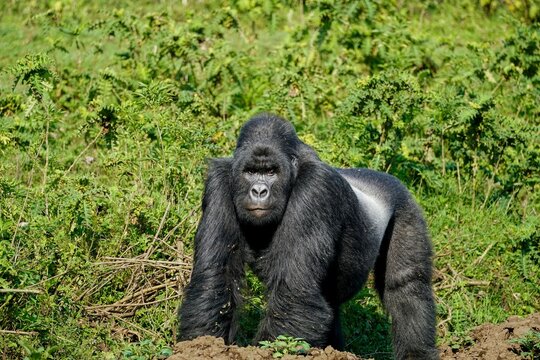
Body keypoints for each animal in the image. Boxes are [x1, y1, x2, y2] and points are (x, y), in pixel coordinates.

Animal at [178, 114, 438, 358]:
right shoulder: (220, 182)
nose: (259, 191)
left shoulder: (315, 187)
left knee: (406, 286)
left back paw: (417, 352)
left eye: (271, 172)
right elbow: (216, 278)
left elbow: (294, 290)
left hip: (407, 207)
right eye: (250, 172)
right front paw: (199, 346)